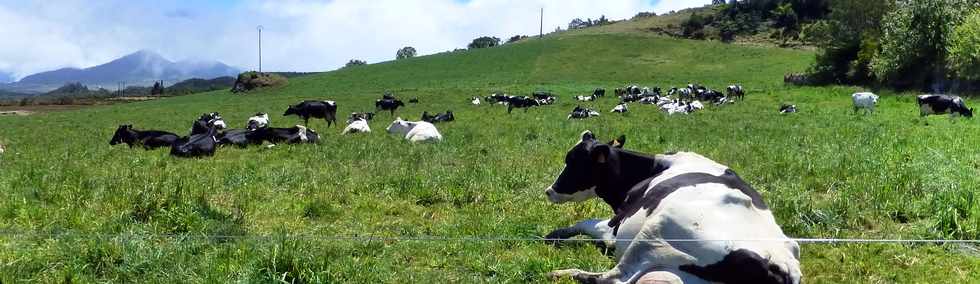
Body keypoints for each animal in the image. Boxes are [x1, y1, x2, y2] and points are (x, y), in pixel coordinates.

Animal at [544, 132, 804, 284]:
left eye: (574, 162)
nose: (549, 190)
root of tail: (779, 261)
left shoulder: (615, 226)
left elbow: (587, 223)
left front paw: (555, 235)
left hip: (654, 232)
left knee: (614, 278)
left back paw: (563, 273)